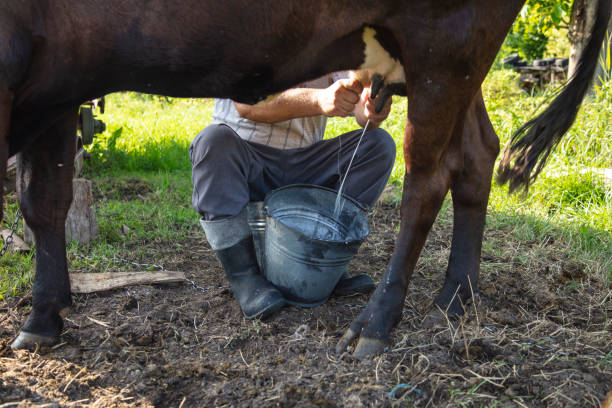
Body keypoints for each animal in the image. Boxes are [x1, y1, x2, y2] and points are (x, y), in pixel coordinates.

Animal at [2, 0, 608, 356]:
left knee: (427, 180)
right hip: (456, 65)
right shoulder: (58, 84)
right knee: (478, 156)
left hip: (447, 46)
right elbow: (43, 201)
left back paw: (376, 323)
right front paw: (43, 316)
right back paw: (457, 295)